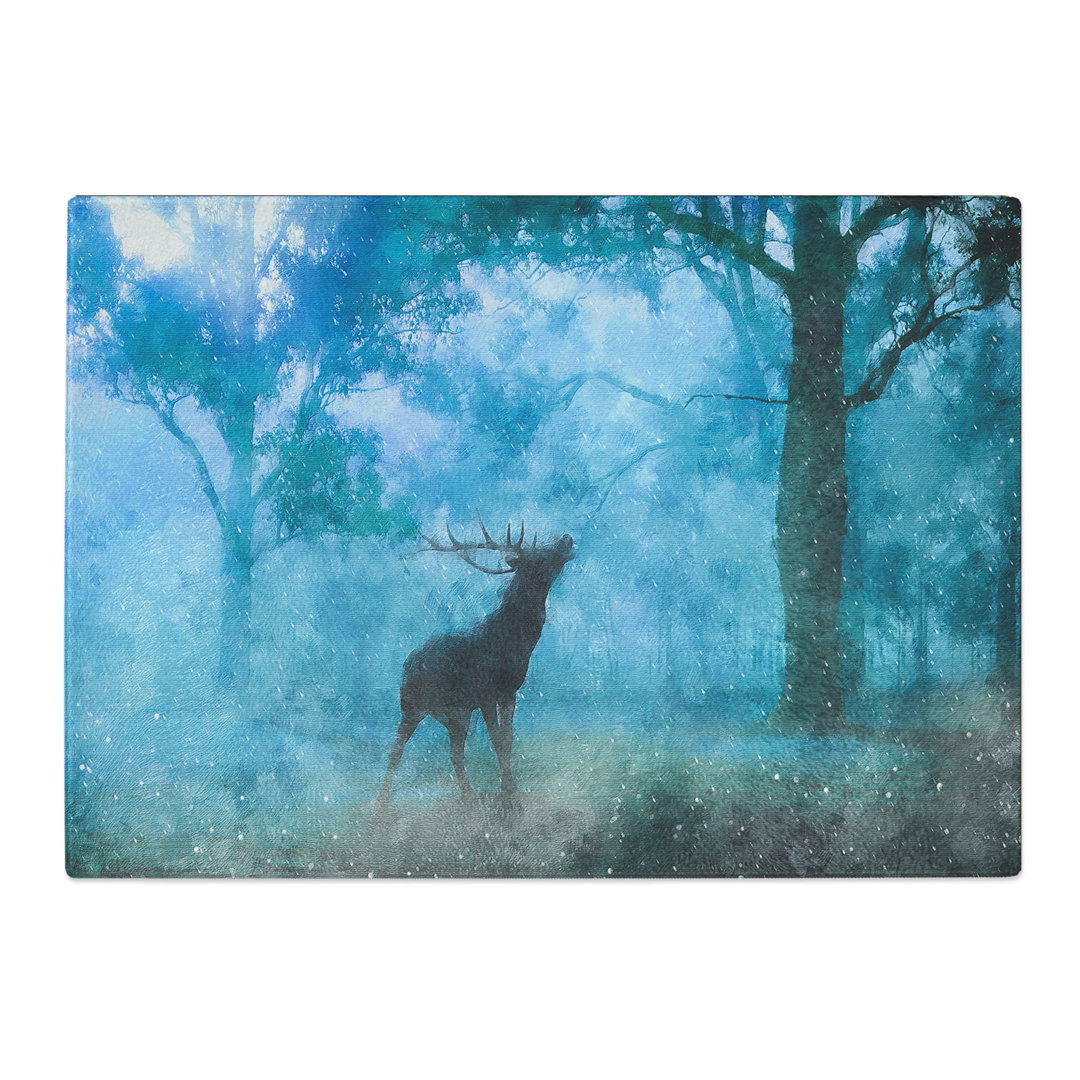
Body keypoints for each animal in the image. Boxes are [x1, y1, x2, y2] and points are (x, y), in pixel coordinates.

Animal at [375, 519, 575, 813]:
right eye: (540, 555)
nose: (566, 538)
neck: (519, 639)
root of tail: (408, 665)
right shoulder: (487, 693)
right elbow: (498, 739)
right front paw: (509, 794)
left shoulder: (509, 692)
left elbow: (508, 738)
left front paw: (509, 788)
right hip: (426, 707)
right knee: (421, 750)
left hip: (441, 711)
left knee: (428, 751)